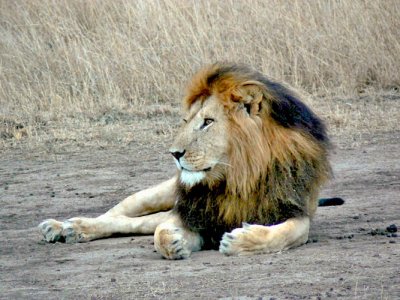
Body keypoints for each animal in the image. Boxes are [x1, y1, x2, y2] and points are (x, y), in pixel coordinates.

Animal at [38, 62, 344, 258]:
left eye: (207, 122)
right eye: (186, 121)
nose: (174, 154)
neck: (239, 175)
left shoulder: (296, 212)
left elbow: (282, 235)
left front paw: (240, 241)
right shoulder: (193, 211)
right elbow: (161, 231)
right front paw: (173, 242)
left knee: (135, 222)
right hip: (155, 194)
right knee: (117, 215)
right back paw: (66, 227)